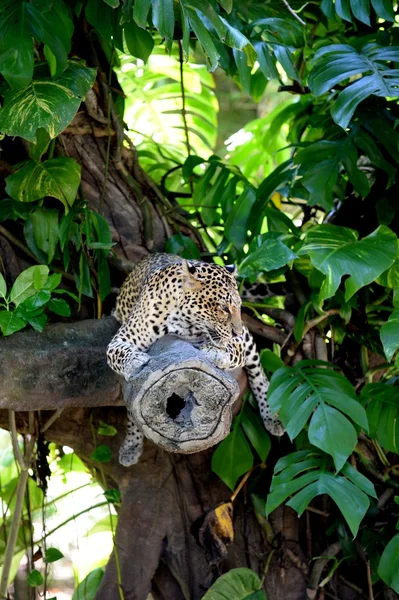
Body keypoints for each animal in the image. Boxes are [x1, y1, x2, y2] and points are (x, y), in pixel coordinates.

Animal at [107, 251, 284, 466]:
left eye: (240, 307)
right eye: (223, 308)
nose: (237, 330)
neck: (183, 322)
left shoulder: (239, 344)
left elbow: (231, 350)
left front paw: (215, 352)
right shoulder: (120, 339)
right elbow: (119, 355)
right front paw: (135, 361)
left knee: (258, 372)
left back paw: (272, 417)